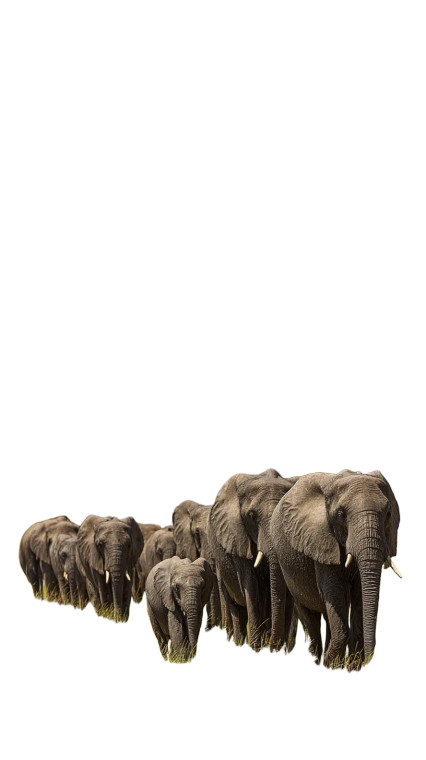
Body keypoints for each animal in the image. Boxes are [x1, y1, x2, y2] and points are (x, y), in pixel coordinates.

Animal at [208, 469, 298, 650]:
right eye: (251, 516)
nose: (273, 647)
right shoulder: (237, 536)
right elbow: (251, 584)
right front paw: (257, 648)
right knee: (234, 605)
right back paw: (239, 643)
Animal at [270, 469, 401, 670]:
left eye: (388, 513)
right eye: (340, 514)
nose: (368, 661)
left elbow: (359, 593)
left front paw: (351, 668)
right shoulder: (320, 539)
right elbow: (335, 591)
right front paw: (332, 664)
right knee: (310, 617)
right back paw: (317, 660)